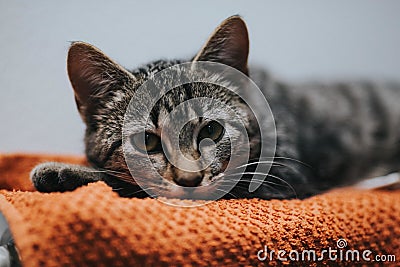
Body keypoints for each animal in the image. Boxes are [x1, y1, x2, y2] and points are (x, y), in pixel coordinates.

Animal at [30, 15, 400, 200]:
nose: (189, 178)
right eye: (147, 142)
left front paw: (64, 171)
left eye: (212, 130)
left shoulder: (280, 177)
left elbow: (127, 184)